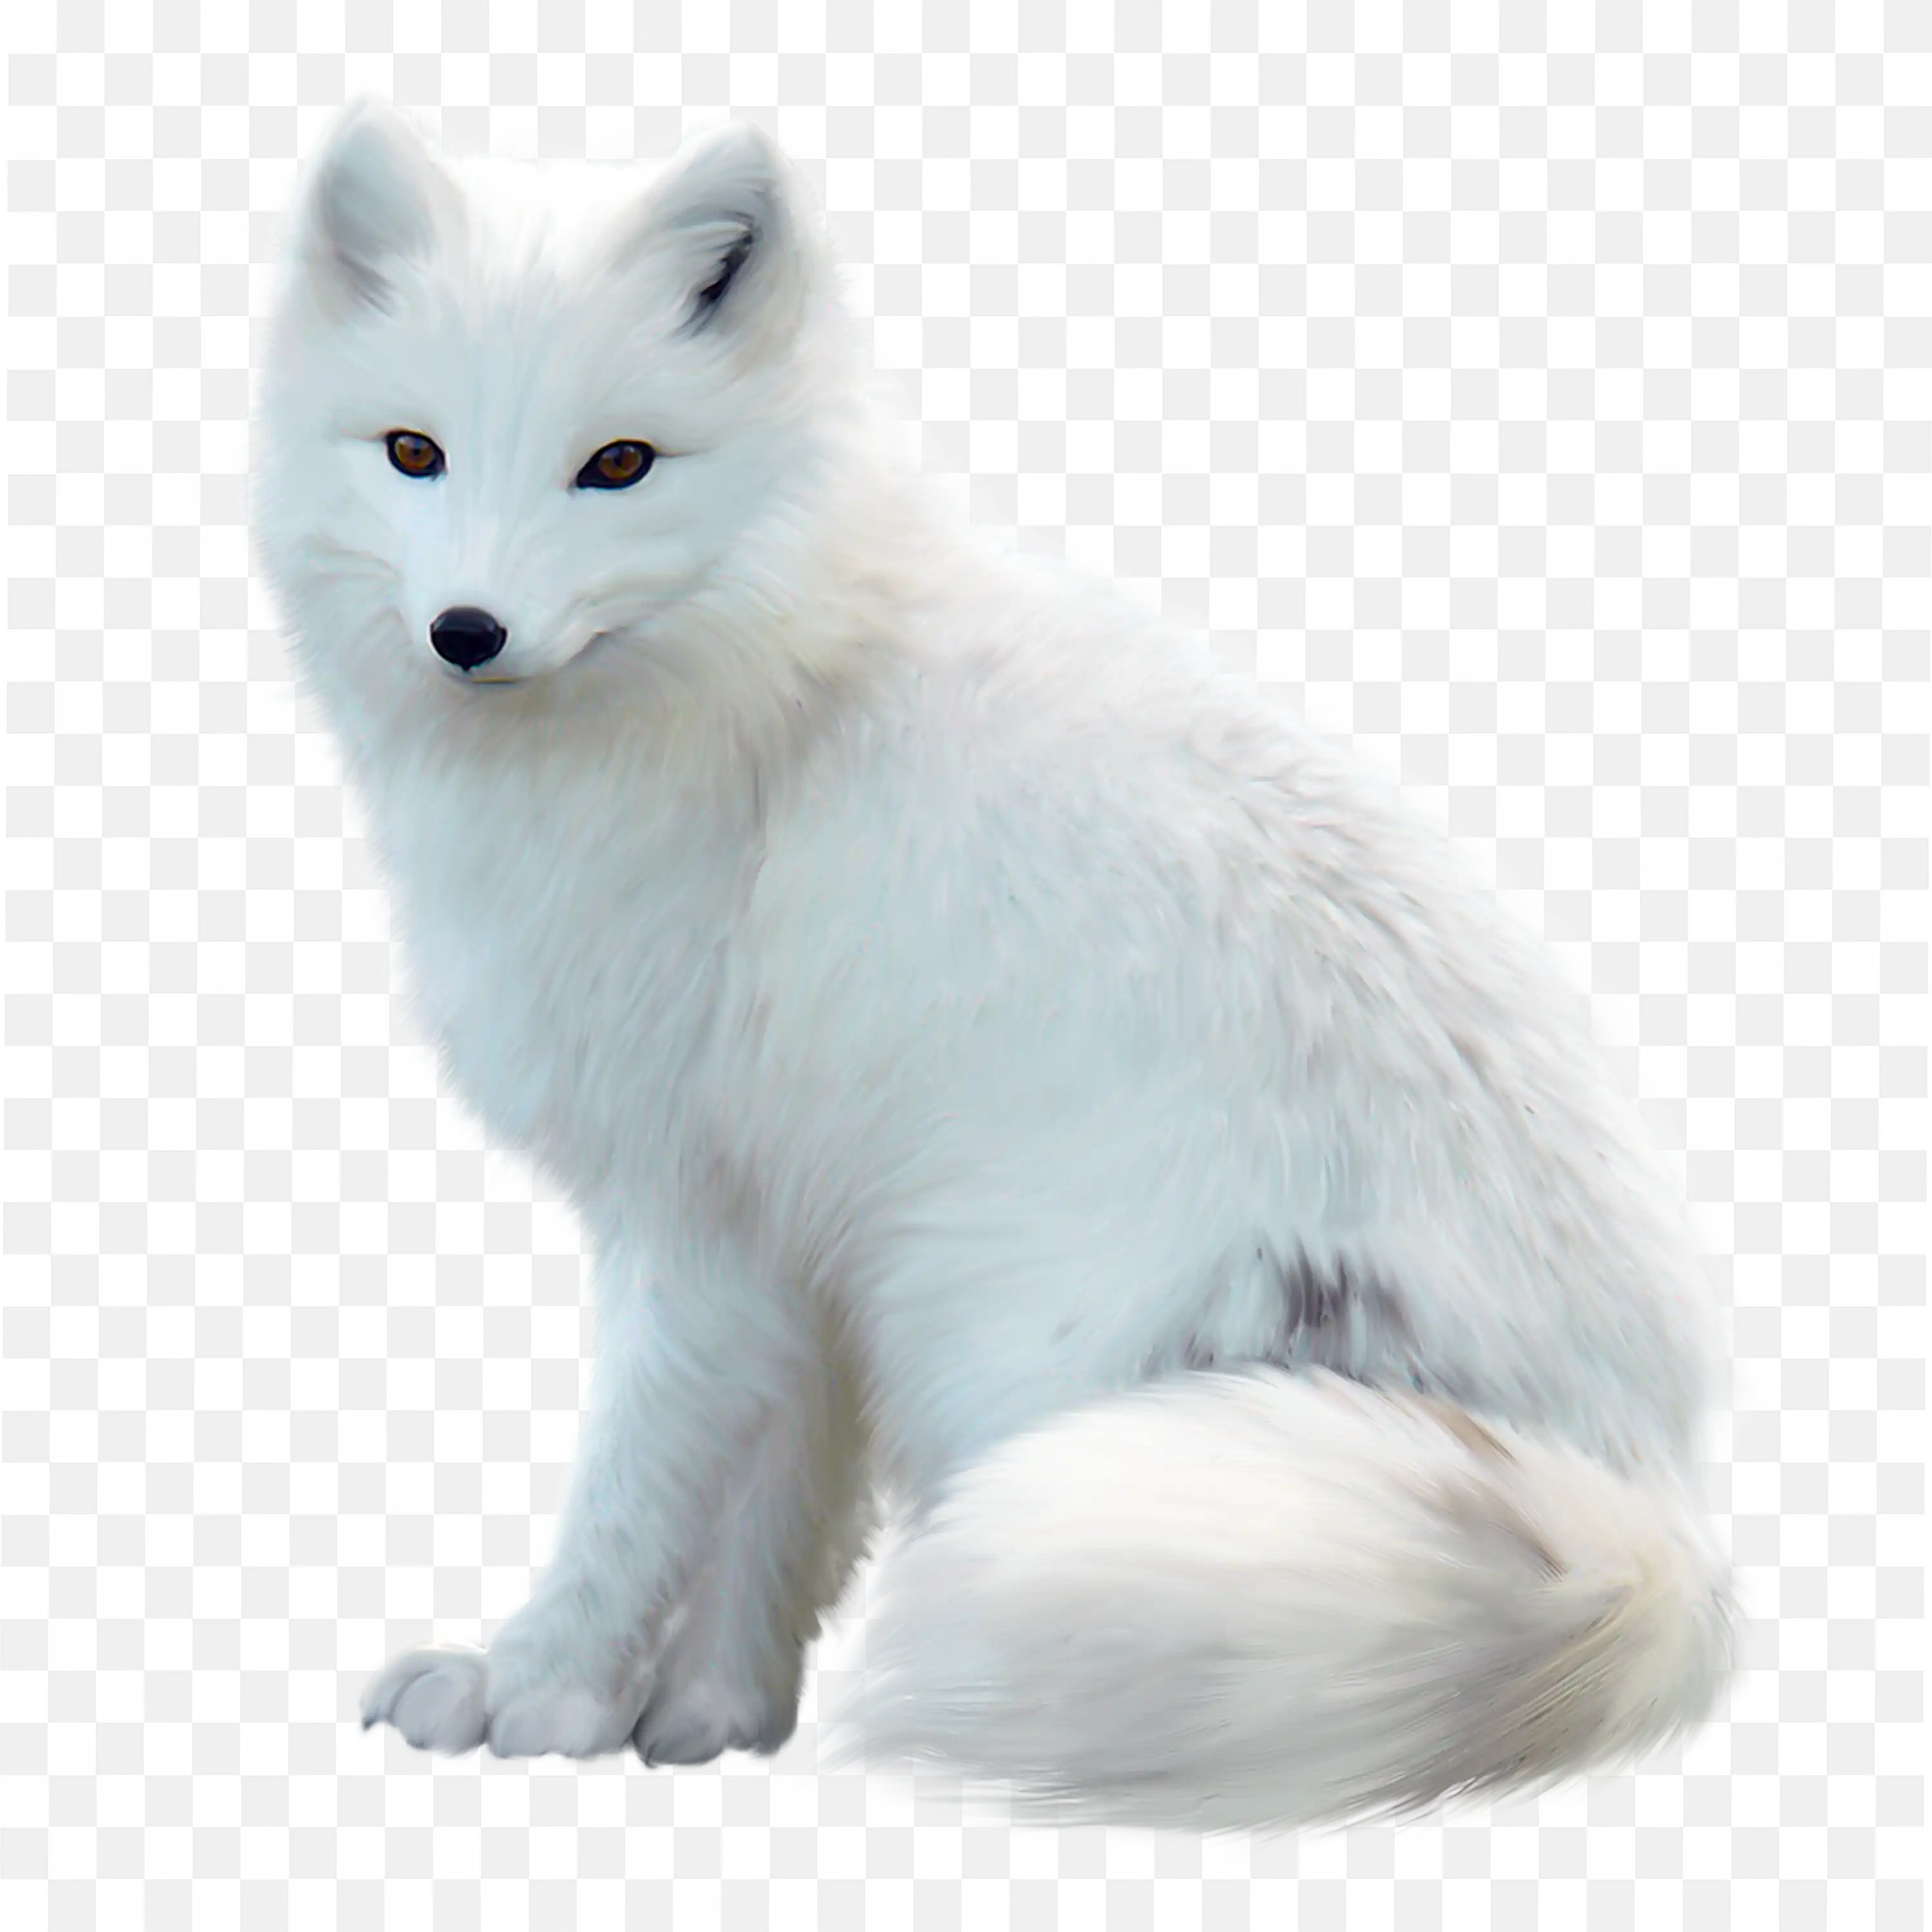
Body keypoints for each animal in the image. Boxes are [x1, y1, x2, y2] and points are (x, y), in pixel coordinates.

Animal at [251, 94, 1736, 1833]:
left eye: (616, 465)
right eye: (410, 451)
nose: (467, 632)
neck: (769, 690)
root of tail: (1648, 1502)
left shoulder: (692, 1222)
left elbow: (631, 1499)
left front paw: (539, 1696)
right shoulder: (798, 1245)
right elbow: (766, 1515)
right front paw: (710, 1720)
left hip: (1021, 1363)